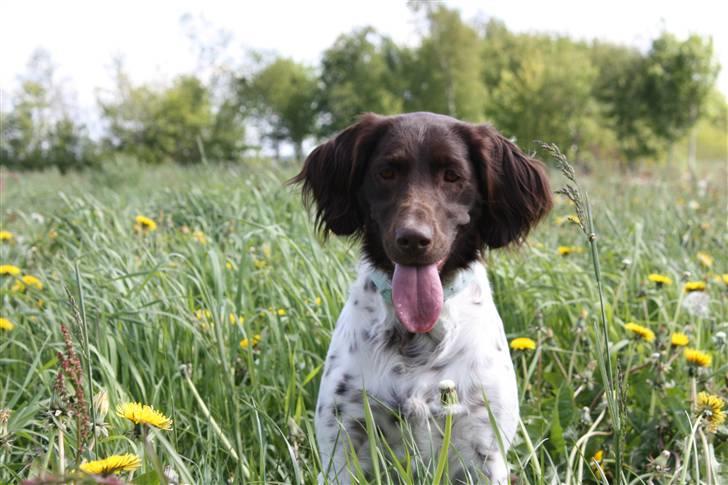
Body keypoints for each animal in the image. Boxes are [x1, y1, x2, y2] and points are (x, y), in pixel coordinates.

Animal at [292, 112, 548, 480]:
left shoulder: (483, 447)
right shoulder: (342, 443)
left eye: (452, 175)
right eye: (386, 172)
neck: (417, 338)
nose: (413, 239)